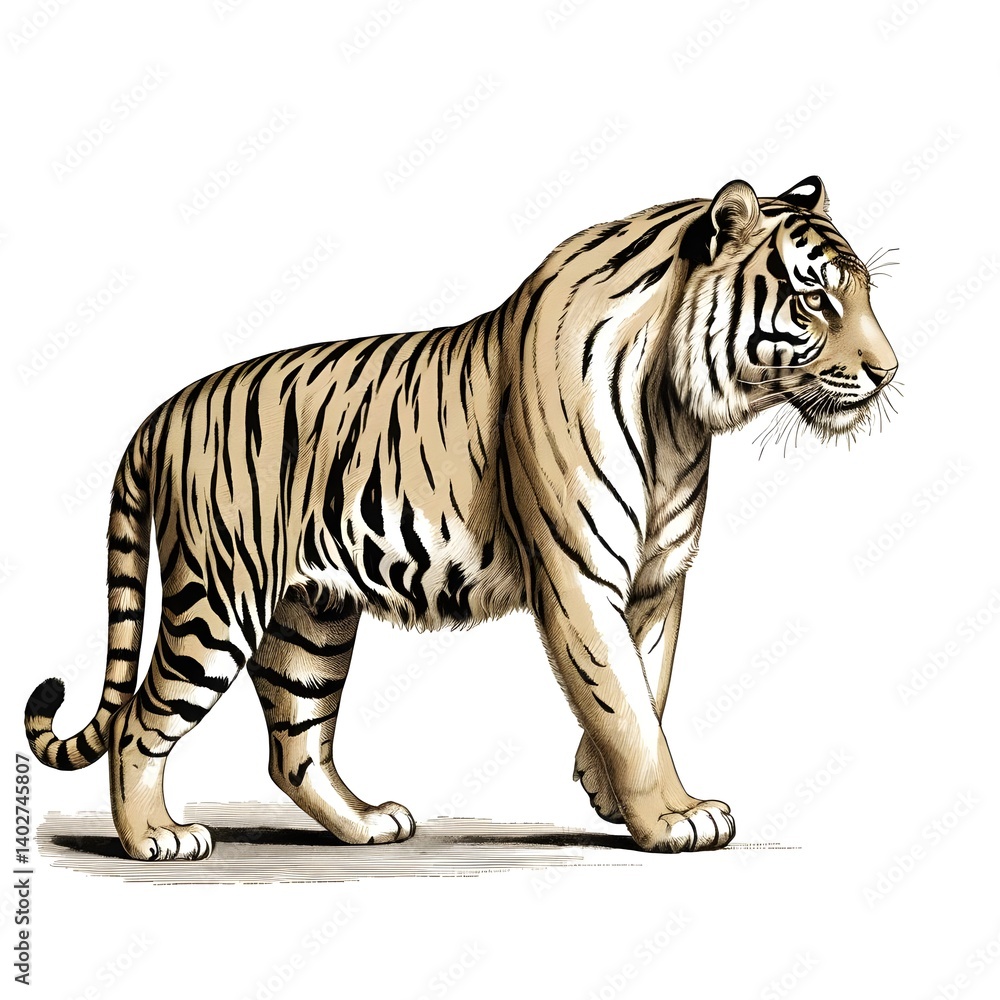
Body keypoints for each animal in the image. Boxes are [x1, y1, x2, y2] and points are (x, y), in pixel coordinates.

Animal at [24, 175, 897, 859]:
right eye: (814, 298)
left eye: (863, 294)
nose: (889, 371)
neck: (679, 412)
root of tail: (161, 414)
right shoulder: (579, 576)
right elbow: (624, 703)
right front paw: (674, 818)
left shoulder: (659, 578)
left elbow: (649, 683)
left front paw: (603, 787)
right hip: (219, 601)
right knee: (141, 721)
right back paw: (156, 838)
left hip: (311, 617)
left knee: (294, 746)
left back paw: (367, 823)